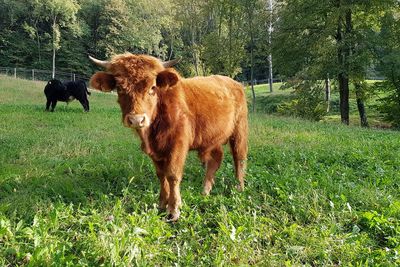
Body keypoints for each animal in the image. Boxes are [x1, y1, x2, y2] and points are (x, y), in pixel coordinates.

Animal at [89, 52, 248, 222]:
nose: (137, 119)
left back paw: (239, 187)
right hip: (212, 137)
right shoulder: (155, 152)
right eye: (119, 88)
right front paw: (161, 204)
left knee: (239, 157)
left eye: (152, 87)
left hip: (240, 130)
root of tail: (233, 82)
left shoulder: (178, 145)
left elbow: (172, 174)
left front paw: (173, 209)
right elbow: (161, 175)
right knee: (215, 159)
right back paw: (205, 191)